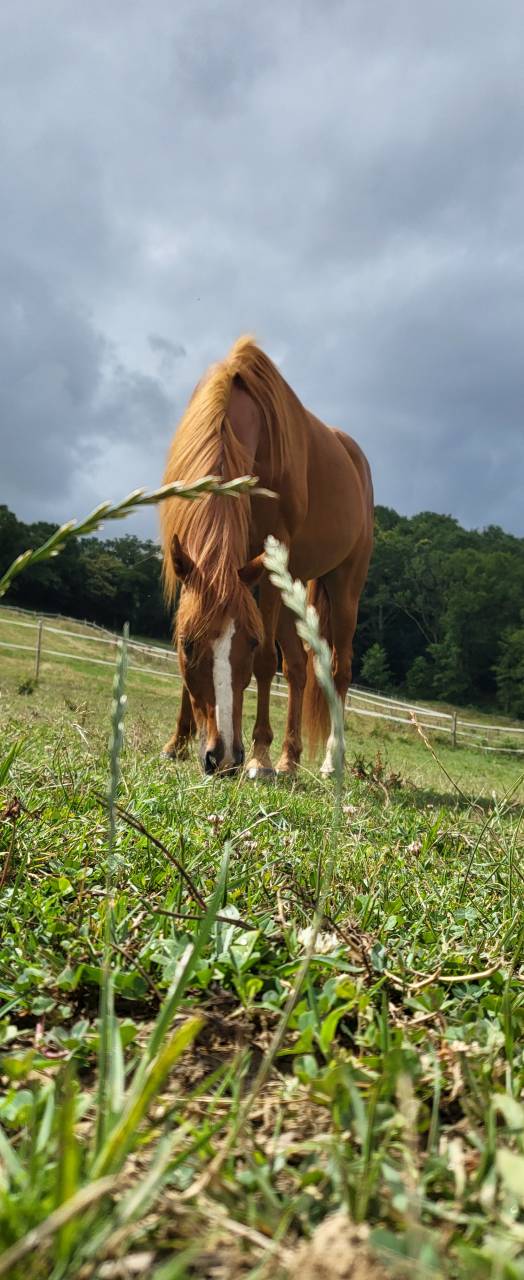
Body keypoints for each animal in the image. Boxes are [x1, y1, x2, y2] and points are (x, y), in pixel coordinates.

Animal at [159, 336, 373, 778]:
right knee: (298, 667)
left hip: (344, 588)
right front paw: (176, 742)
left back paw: (330, 761)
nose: (223, 757)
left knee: (338, 670)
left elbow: (264, 664)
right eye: (188, 644)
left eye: (253, 640)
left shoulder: (270, 560)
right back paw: (290, 758)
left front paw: (259, 758)